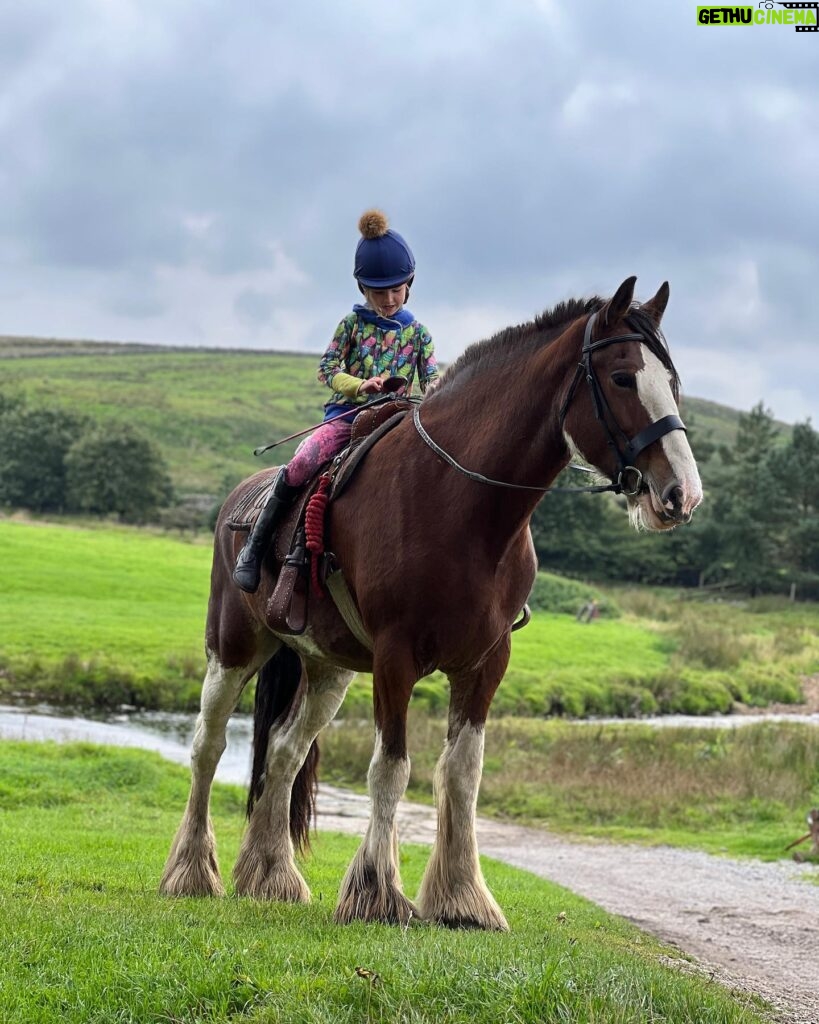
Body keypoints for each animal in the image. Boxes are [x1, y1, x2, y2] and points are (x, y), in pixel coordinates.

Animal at [159, 276, 704, 933]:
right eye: (623, 378)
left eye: (672, 382)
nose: (681, 494)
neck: (461, 504)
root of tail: (238, 501)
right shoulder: (396, 658)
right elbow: (391, 769)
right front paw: (377, 891)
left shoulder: (485, 664)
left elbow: (462, 774)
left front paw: (462, 898)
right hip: (234, 650)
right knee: (207, 747)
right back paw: (191, 870)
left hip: (327, 669)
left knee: (286, 753)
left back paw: (271, 875)